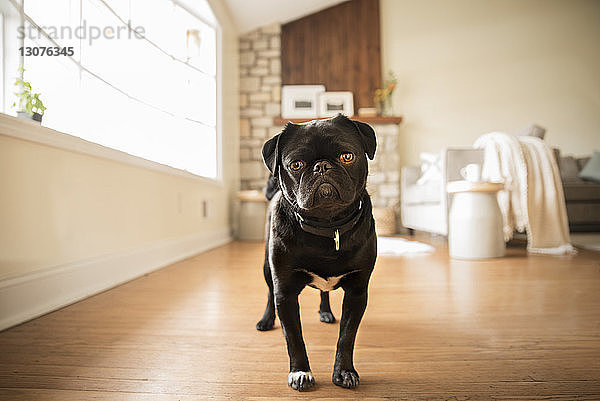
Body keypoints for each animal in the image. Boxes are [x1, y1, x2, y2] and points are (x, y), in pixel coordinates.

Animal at [255, 113, 378, 390]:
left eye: (347, 156)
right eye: (296, 165)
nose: (322, 167)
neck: (328, 226)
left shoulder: (357, 292)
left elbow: (346, 337)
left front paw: (344, 371)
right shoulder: (285, 294)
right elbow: (294, 338)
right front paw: (300, 372)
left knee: (325, 293)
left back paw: (326, 312)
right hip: (267, 269)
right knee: (268, 294)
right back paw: (266, 320)